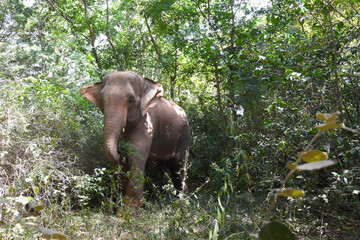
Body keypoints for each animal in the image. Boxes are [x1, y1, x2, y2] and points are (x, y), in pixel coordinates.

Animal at [80, 70, 190, 209]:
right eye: (102, 99)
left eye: (131, 100)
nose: (120, 152)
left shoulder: (147, 123)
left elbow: (136, 153)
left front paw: (129, 209)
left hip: (185, 134)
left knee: (179, 164)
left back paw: (184, 202)